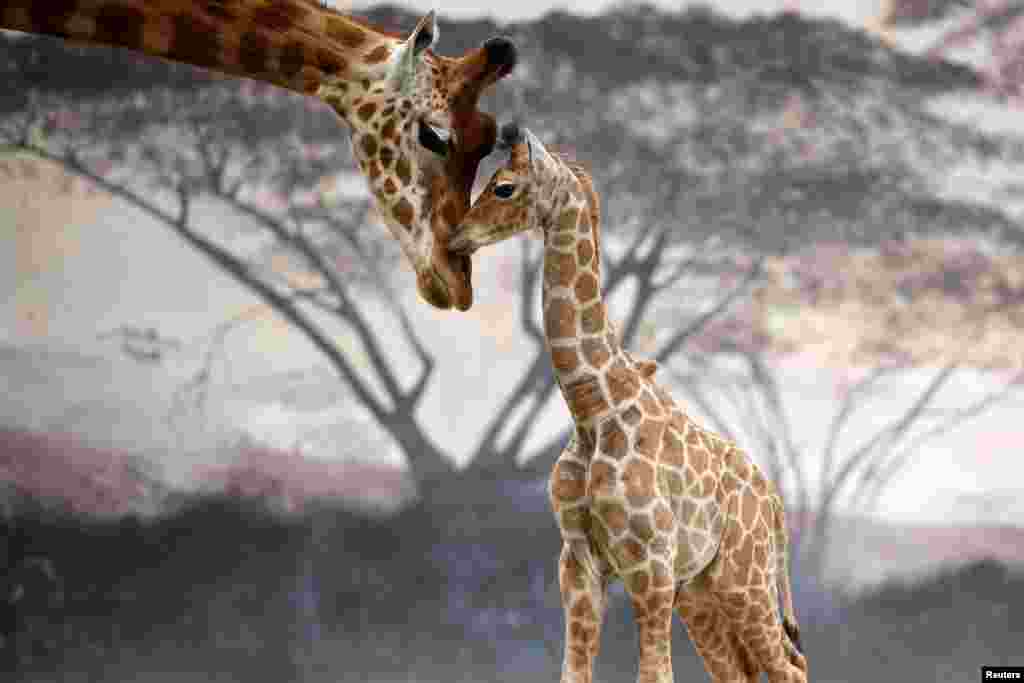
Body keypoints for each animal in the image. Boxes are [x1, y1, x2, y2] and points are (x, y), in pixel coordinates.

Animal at [449, 123, 808, 683]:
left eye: (503, 187)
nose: (455, 239)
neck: (592, 409)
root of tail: (773, 501)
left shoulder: (651, 567)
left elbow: (654, 674)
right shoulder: (577, 563)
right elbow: (573, 673)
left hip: (743, 581)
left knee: (791, 668)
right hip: (703, 594)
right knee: (745, 673)